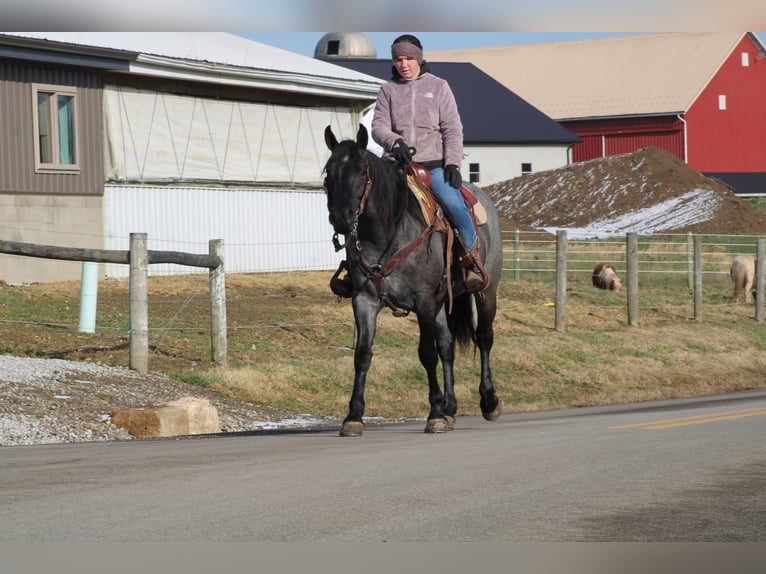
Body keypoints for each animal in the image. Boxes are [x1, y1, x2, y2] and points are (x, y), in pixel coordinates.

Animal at [322, 124, 503, 436]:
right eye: (328, 171)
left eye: (361, 170)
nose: (341, 218)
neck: (387, 233)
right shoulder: (365, 301)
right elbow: (362, 355)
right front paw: (353, 416)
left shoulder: (424, 301)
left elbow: (426, 353)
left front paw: (434, 414)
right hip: (444, 301)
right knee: (447, 346)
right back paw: (451, 408)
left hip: (486, 291)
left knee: (483, 338)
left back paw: (488, 401)